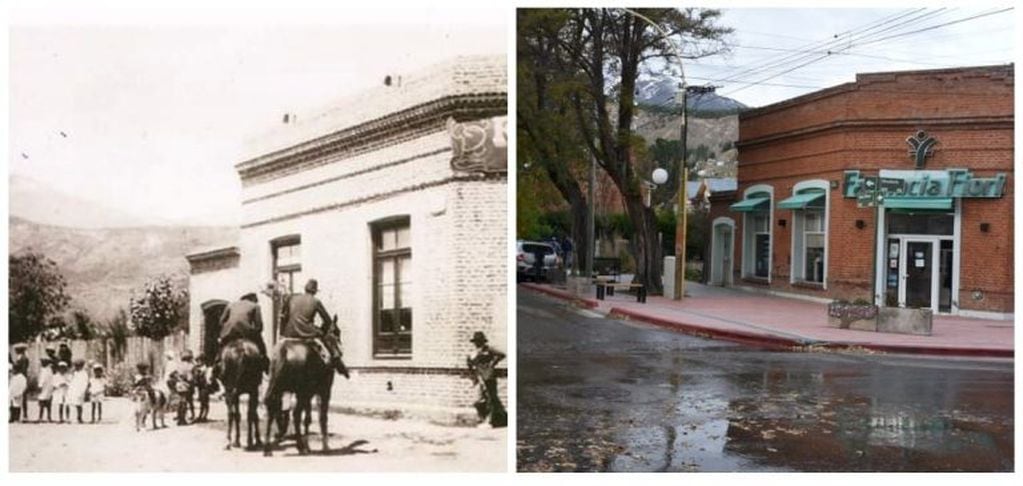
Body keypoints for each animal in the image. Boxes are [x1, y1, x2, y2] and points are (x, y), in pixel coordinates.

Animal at [263, 317, 339, 458]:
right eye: (337, 332)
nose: (337, 355)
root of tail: (284, 350)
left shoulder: (307, 393)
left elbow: (308, 418)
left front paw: (309, 445)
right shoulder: (324, 391)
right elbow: (322, 417)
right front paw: (325, 446)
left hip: (279, 388)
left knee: (272, 409)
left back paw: (267, 448)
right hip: (301, 392)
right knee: (296, 414)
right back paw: (300, 447)